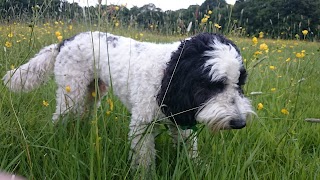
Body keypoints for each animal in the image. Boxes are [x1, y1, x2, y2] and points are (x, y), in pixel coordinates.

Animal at [1, 31, 252, 168]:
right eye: (212, 85)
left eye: (239, 83)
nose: (240, 123)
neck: (166, 73)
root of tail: (66, 41)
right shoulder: (142, 125)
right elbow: (144, 159)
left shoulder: (180, 122)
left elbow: (190, 150)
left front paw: (197, 167)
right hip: (71, 92)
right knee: (59, 117)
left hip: (94, 91)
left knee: (83, 114)